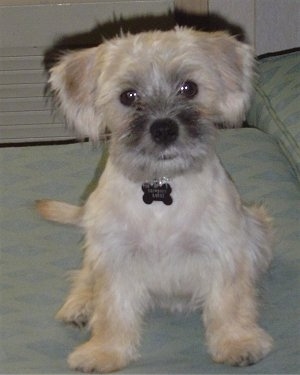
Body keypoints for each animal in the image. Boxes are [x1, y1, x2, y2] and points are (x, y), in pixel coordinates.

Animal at [36, 27, 274, 374]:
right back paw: (79, 304)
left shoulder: (223, 249)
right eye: (128, 96)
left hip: (258, 227)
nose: (164, 129)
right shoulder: (116, 255)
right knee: (85, 275)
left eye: (189, 88)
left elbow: (228, 302)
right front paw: (104, 352)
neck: (162, 184)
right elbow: (112, 311)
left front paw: (237, 342)